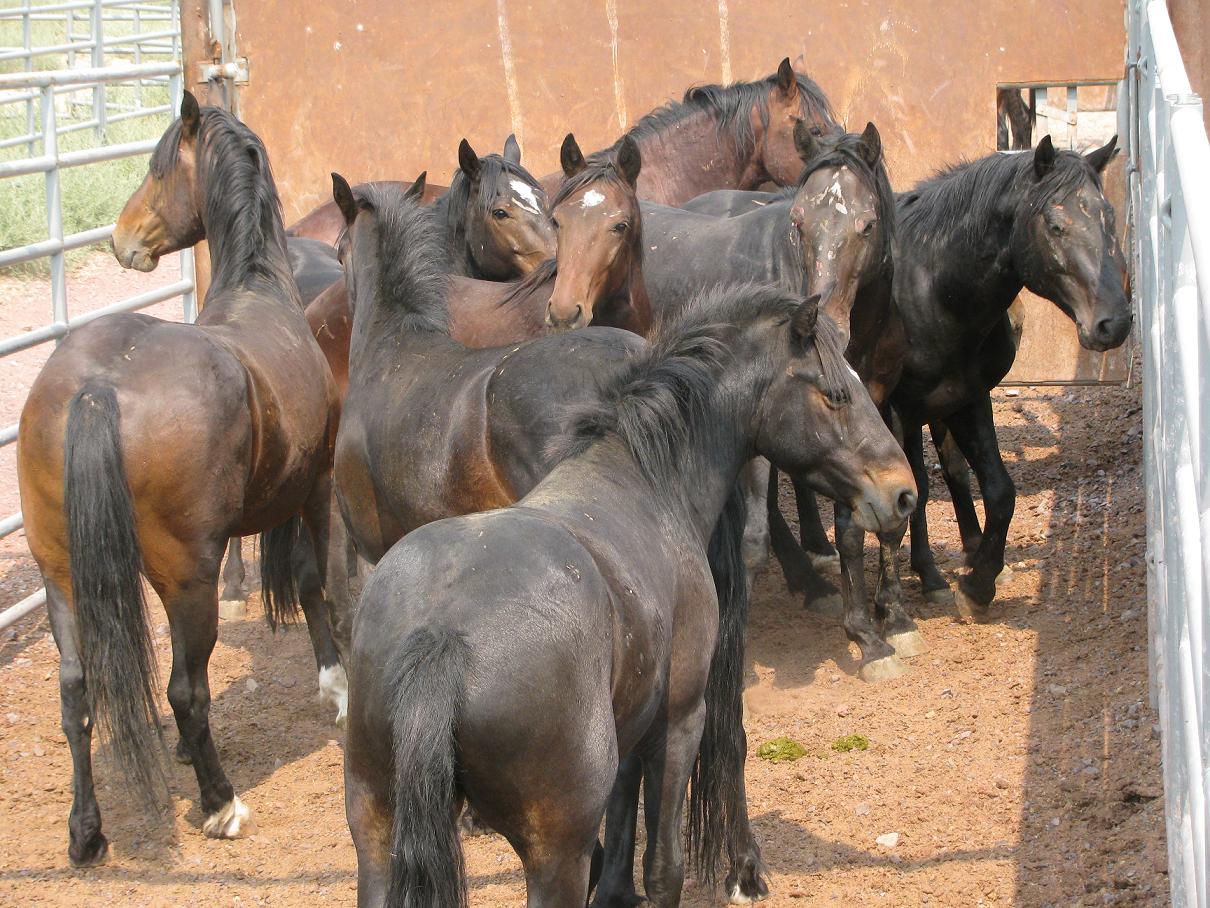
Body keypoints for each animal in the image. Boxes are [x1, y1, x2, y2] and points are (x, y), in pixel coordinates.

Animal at [16, 93, 346, 865]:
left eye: (160, 169)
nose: (122, 239)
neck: (261, 289)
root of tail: (97, 388)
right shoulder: (315, 485)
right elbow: (314, 581)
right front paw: (336, 684)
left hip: (60, 574)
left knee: (75, 694)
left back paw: (87, 833)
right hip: (189, 579)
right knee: (184, 690)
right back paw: (222, 804)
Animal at [334, 177, 915, 907]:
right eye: (836, 392)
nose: (902, 491)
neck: (644, 474)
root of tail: (439, 642)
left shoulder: (642, 727)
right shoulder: (676, 722)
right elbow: (663, 866)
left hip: (385, 833)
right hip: (547, 848)